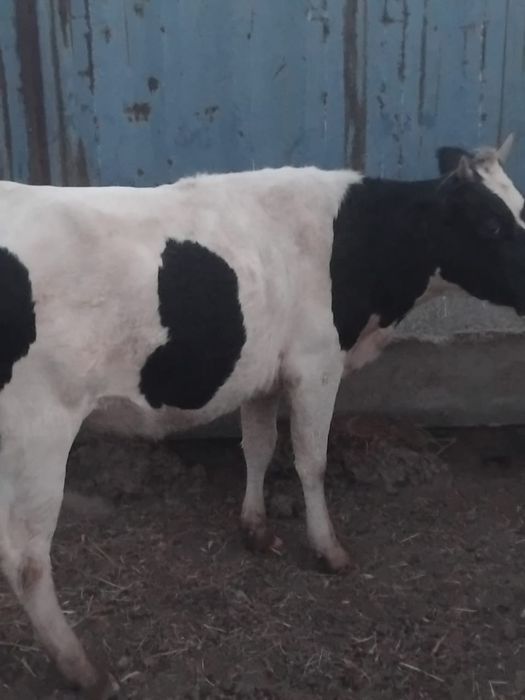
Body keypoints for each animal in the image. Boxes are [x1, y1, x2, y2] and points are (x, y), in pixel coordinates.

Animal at [1, 135, 524, 698]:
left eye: (519, 206)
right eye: (491, 225)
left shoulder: (262, 375)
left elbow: (258, 448)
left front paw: (255, 528)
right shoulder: (315, 365)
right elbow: (311, 462)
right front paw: (328, 550)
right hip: (41, 427)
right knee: (26, 559)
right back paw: (81, 668)